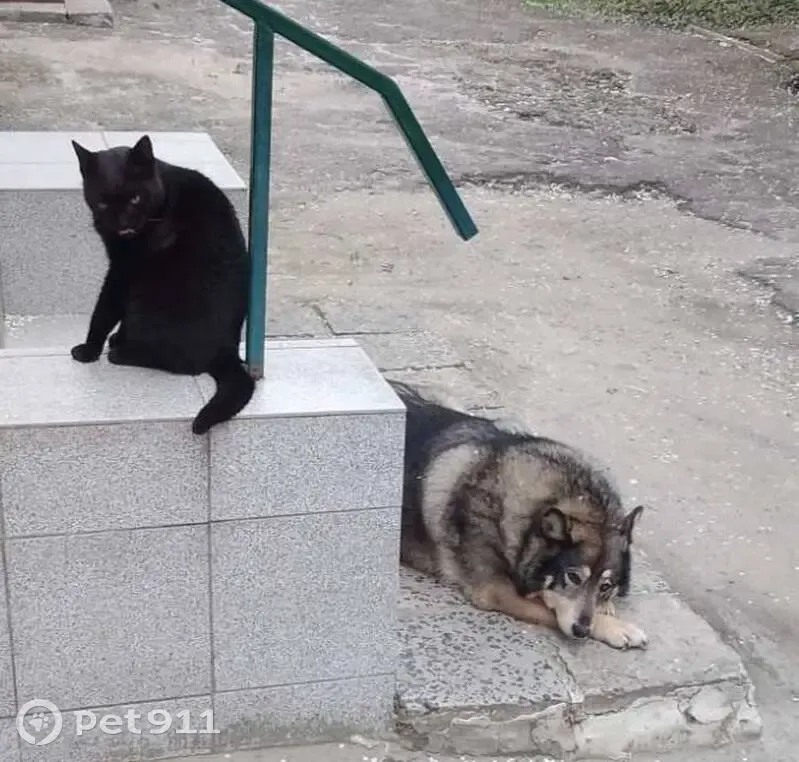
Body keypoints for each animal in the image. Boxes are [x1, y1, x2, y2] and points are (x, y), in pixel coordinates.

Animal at [70, 134, 255, 435]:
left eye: (135, 197)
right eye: (102, 202)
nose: (122, 223)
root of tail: (227, 350)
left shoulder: (123, 270)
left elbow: (105, 310)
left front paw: (89, 350)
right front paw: (114, 337)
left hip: (147, 297)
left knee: (180, 362)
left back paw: (121, 353)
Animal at [390, 380, 647, 650]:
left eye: (605, 585)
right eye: (573, 577)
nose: (581, 631)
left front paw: (606, 608)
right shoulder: (496, 591)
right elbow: (548, 604)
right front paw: (614, 627)